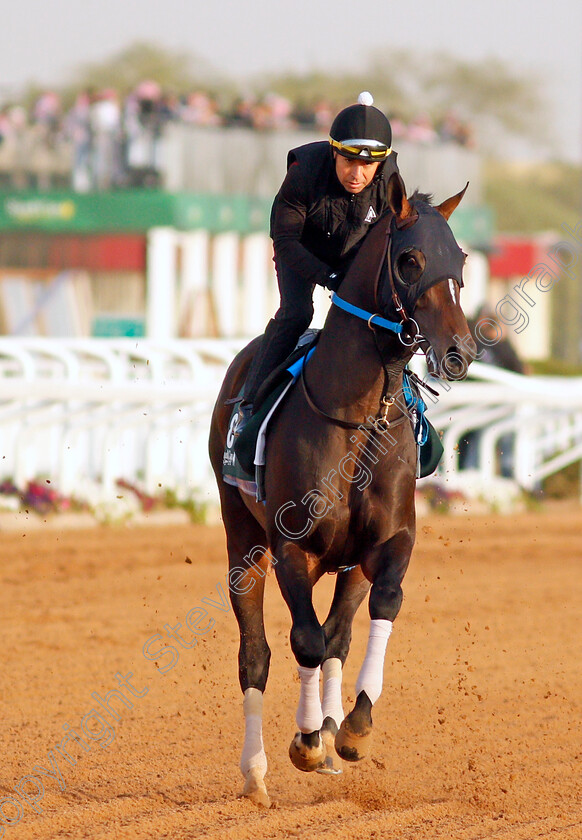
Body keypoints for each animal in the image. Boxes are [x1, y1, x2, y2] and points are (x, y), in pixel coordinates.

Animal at [210, 171, 480, 808]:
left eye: (460, 259)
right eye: (410, 259)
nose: (460, 352)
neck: (357, 418)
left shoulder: (391, 540)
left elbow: (378, 609)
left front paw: (352, 730)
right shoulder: (292, 549)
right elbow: (301, 641)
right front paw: (307, 741)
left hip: (348, 563)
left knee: (337, 635)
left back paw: (332, 733)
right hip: (243, 541)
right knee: (256, 654)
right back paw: (257, 772)